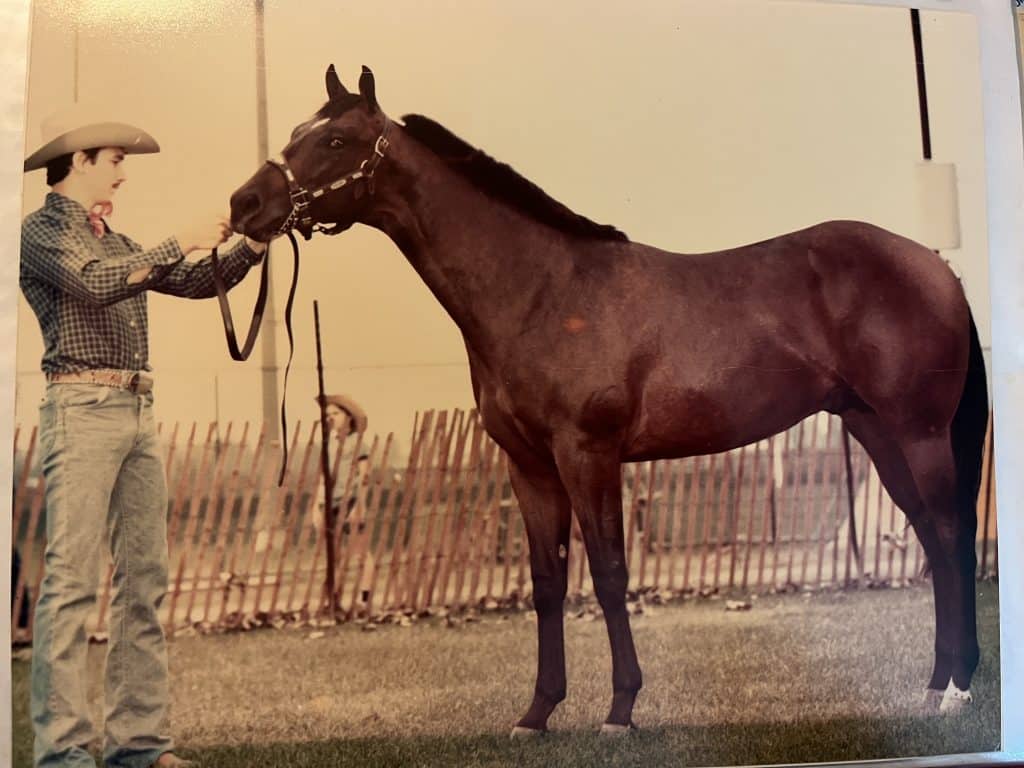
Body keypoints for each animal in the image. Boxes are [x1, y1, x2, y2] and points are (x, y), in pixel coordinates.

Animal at [229, 65, 989, 735]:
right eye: (294, 130)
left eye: (335, 140)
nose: (245, 205)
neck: (541, 291)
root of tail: (933, 266)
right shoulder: (529, 467)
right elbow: (546, 582)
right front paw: (537, 714)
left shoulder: (587, 454)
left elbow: (609, 574)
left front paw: (620, 710)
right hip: (875, 432)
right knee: (930, 537)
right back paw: (934, 687)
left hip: (919, 433)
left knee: (952, 536)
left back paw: (956, 690)